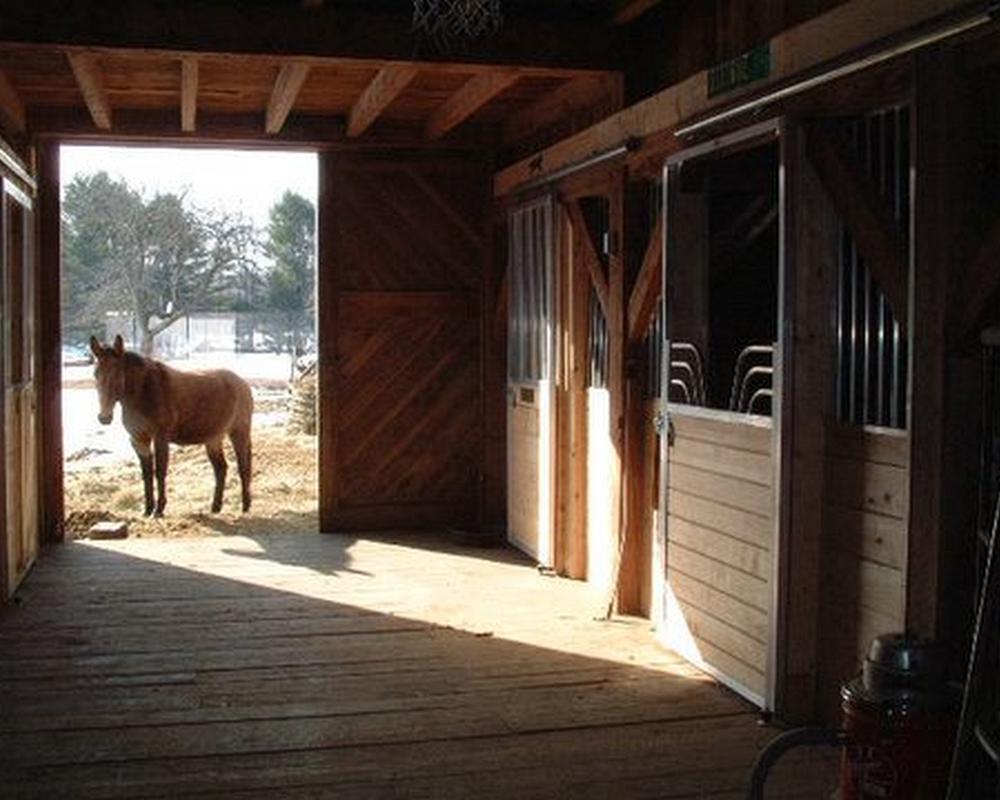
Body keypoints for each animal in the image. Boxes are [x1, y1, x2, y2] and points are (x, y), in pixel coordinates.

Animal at [88, 332, 256, 516]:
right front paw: (147, 510)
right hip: (213, 439)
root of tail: (243, 384)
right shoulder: (139, 440)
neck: (143, 392)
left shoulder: (160, 438)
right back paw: (215, 508)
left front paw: (159, 509)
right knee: (221, 469)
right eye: (95, 374)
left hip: (239, 432)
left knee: (243, 466)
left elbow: (160, 471)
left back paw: (245, 506)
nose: (104, 417)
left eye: (117, 375)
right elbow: (146, 474)